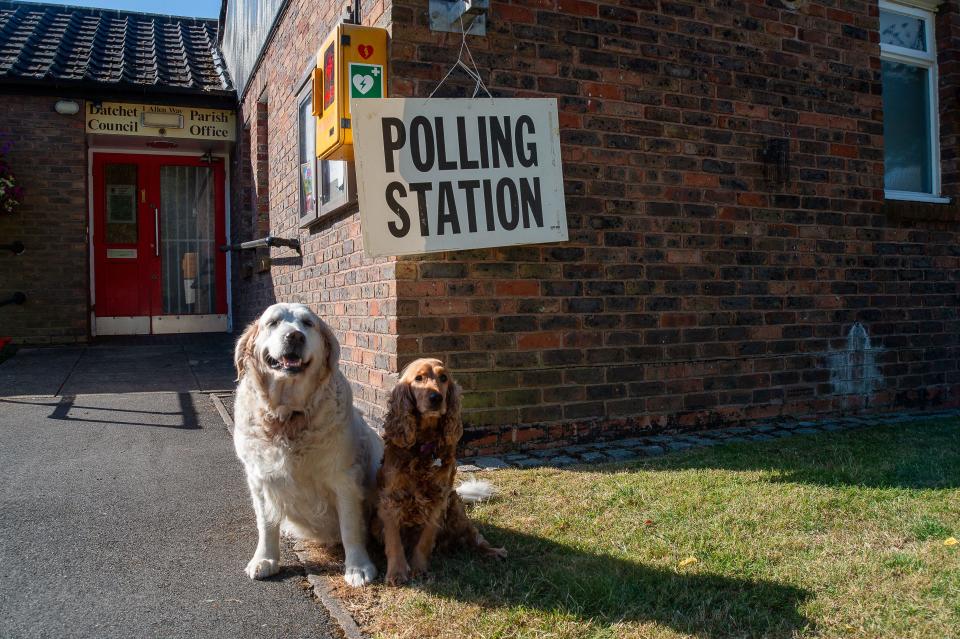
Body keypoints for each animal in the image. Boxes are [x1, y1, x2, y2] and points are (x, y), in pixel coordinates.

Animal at [232, 302, 382, 588]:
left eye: (307, 323)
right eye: (273, 322)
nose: (295, 336)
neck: (289, 416)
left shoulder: (344, 478)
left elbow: (350, 527)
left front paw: (358, 567)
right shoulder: (259, 479)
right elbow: (265, 523)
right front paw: (265, 559)